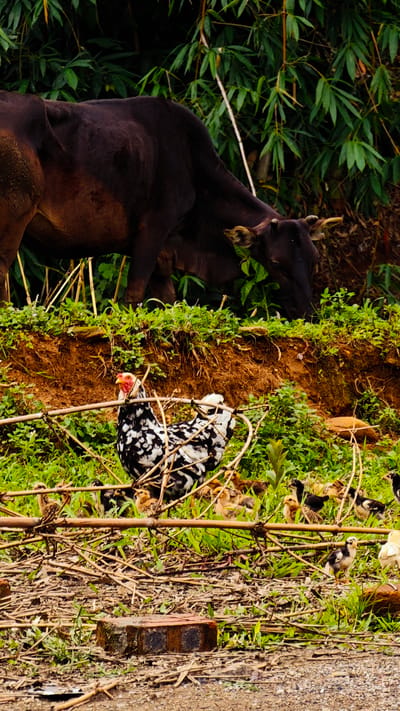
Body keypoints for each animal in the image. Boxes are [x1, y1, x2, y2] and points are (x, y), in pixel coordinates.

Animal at [0, 91, 332, 318]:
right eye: (276, 262)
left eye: (314, 259)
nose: (306, 311)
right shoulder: (152, 231)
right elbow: (134, 296)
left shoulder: (164, 252)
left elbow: (168, 302)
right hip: (13, 214)